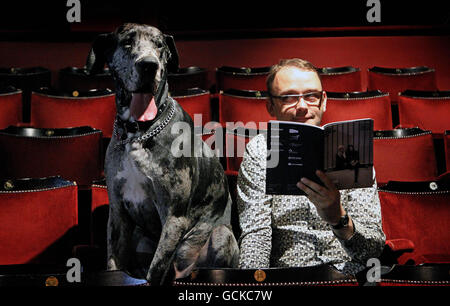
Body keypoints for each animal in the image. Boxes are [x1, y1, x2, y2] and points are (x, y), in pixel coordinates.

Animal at [85, 23, 239, 284]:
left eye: (159, 45)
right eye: (127, 41)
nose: (148, 65)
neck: (137, 133)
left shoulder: (173, 217)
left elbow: (156, 269)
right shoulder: (118, 214)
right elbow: (114, 263)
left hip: (219, 235)